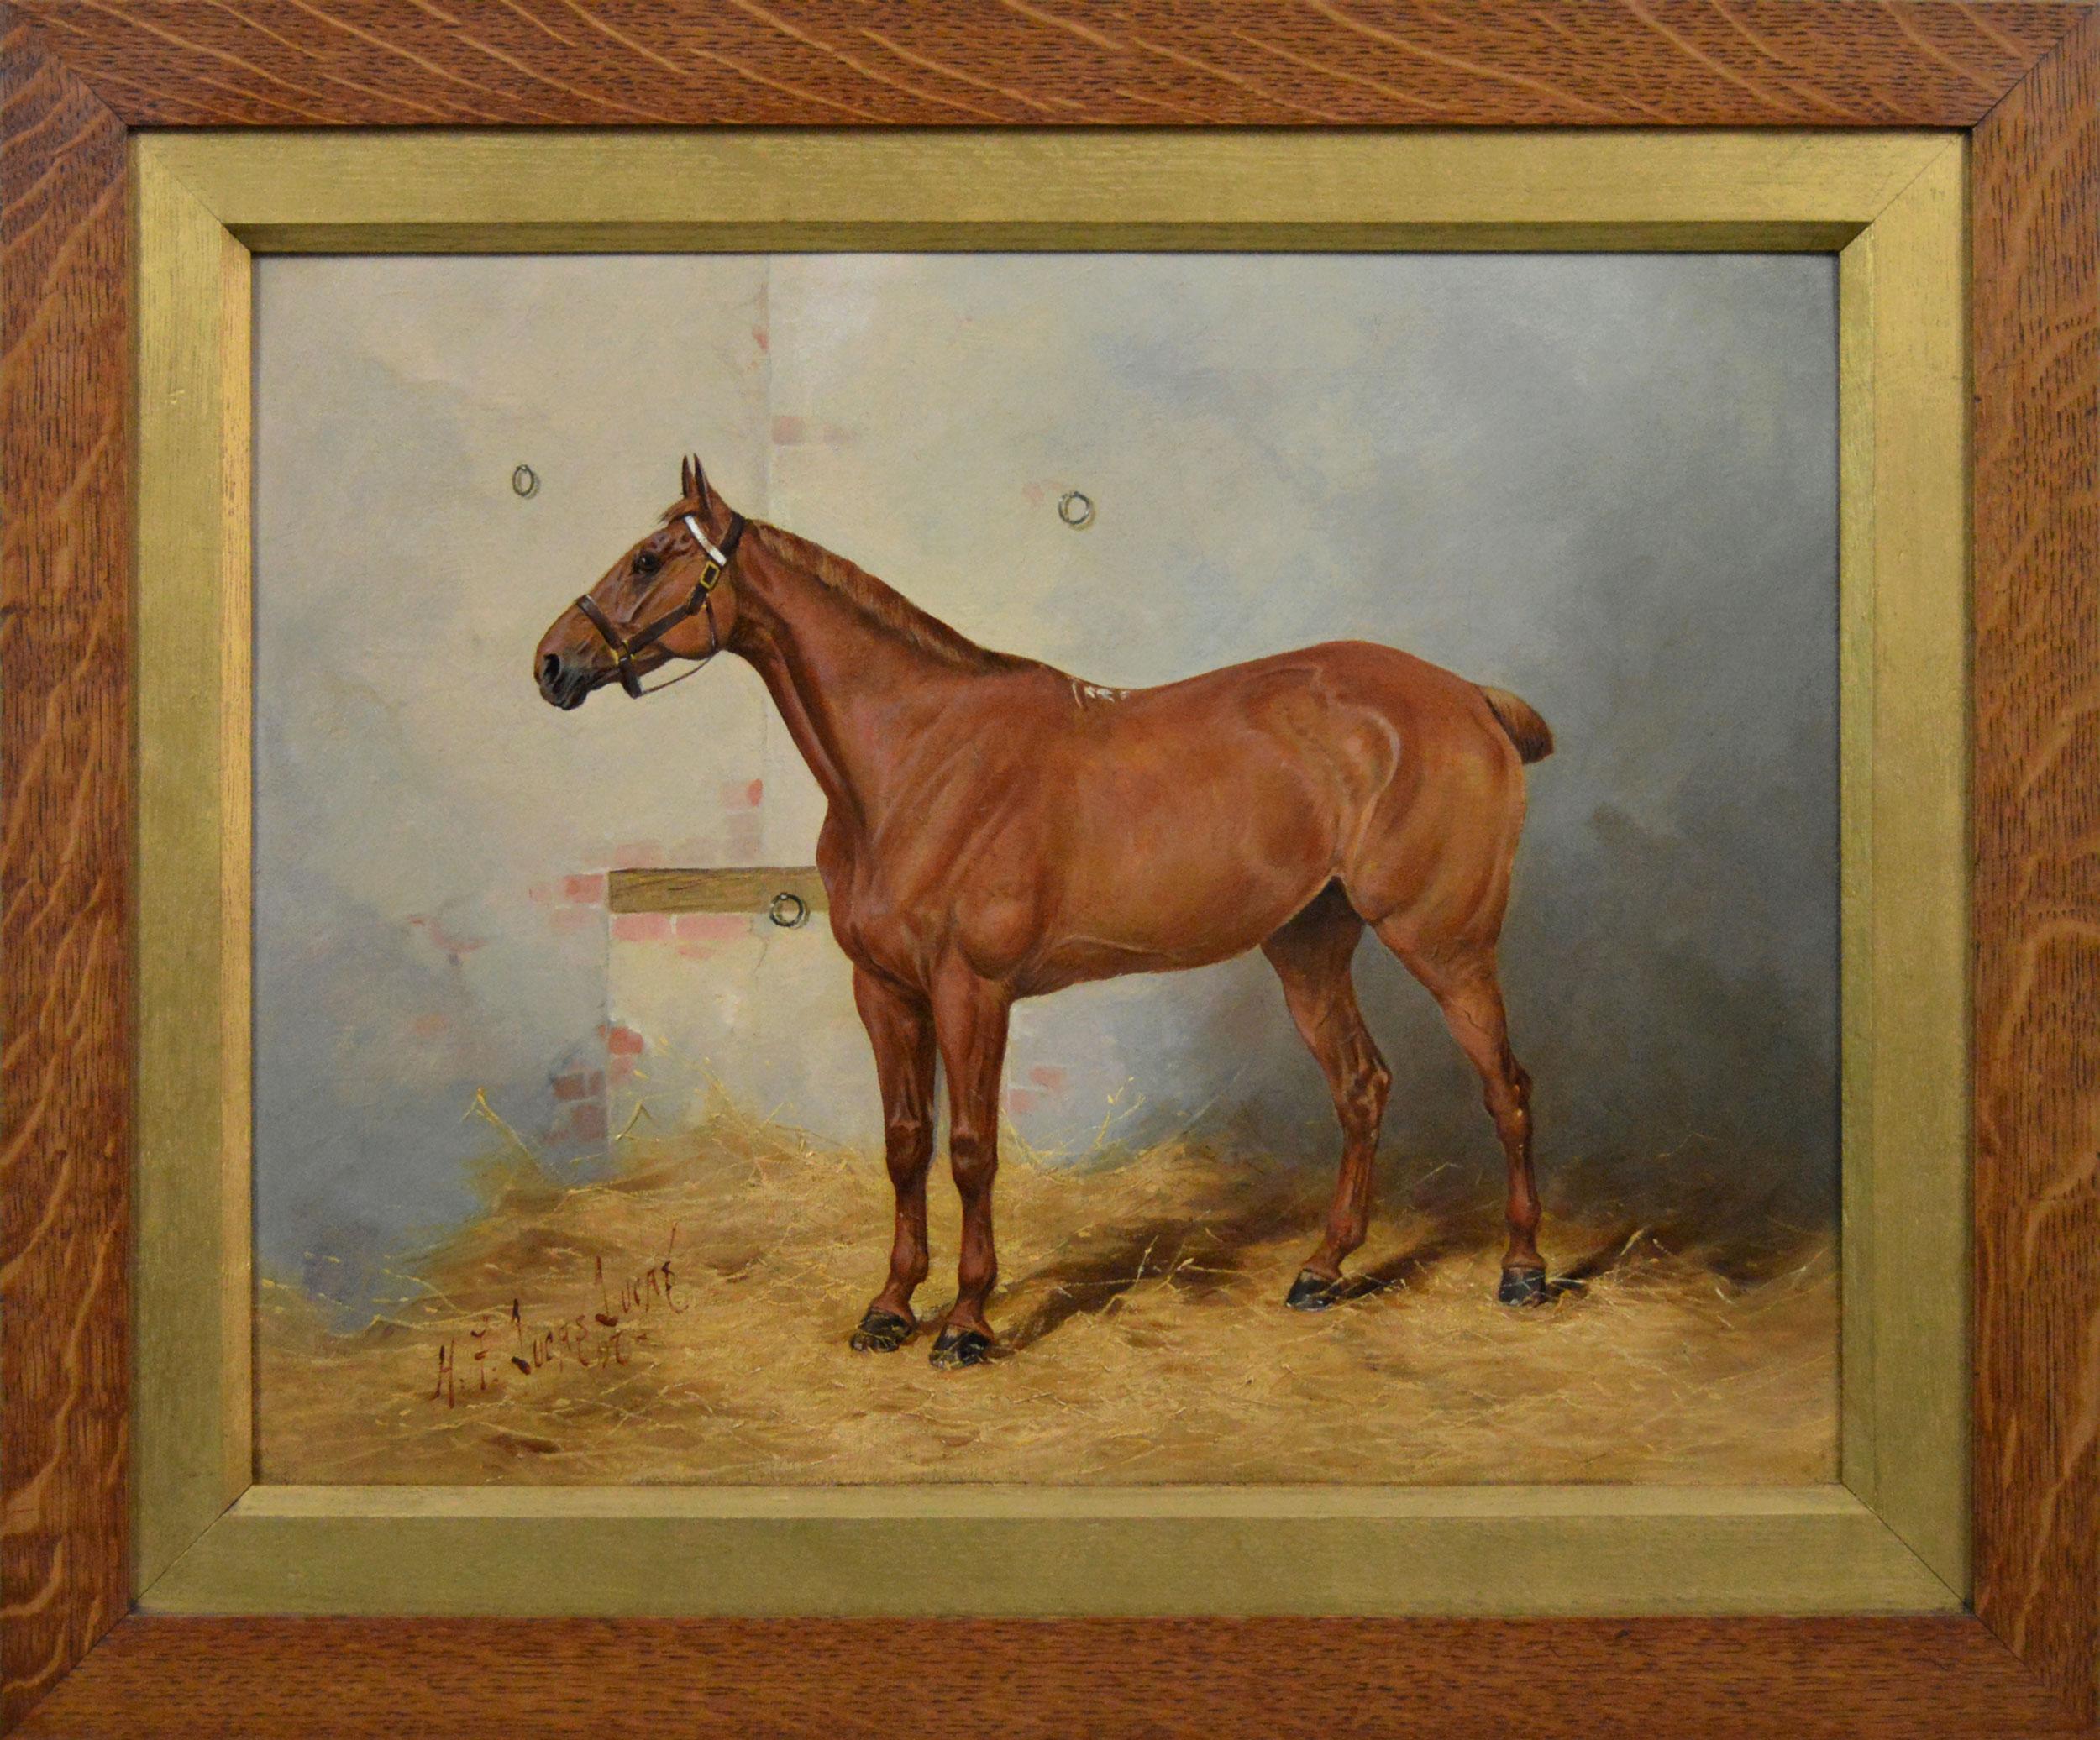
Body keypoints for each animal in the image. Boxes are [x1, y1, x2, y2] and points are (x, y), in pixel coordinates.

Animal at [536, 456, 1555, 1369]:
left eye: (649, 558)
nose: (551, 663)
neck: (916, 760)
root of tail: (1472, 697)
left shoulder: (972, 991)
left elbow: (971, 1150)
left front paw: (966, 1323)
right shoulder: (885, 990)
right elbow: (903, 1144)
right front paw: (888, 1308)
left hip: (1445, 943)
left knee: (1504, 1086)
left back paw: (1522, 1270)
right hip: (1309, 946)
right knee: (1361, 1087)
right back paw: (1321, 1270)